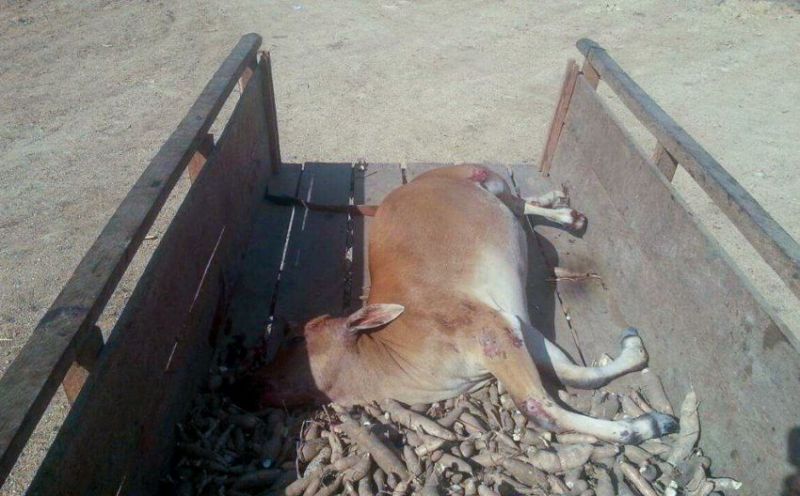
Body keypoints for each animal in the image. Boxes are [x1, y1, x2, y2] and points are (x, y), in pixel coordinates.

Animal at [235, 164, 677, 444]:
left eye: (296, 338)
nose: (246, 384)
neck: (388, 351)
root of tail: (398, 192)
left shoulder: (489, 329)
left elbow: (541, 406)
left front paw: (648, 424)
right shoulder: (511, 326)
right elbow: (573, 375)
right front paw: (634, 355)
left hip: (481, 176)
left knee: (516, 199)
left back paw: (563, 208)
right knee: (517, 204)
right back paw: (565, 210)